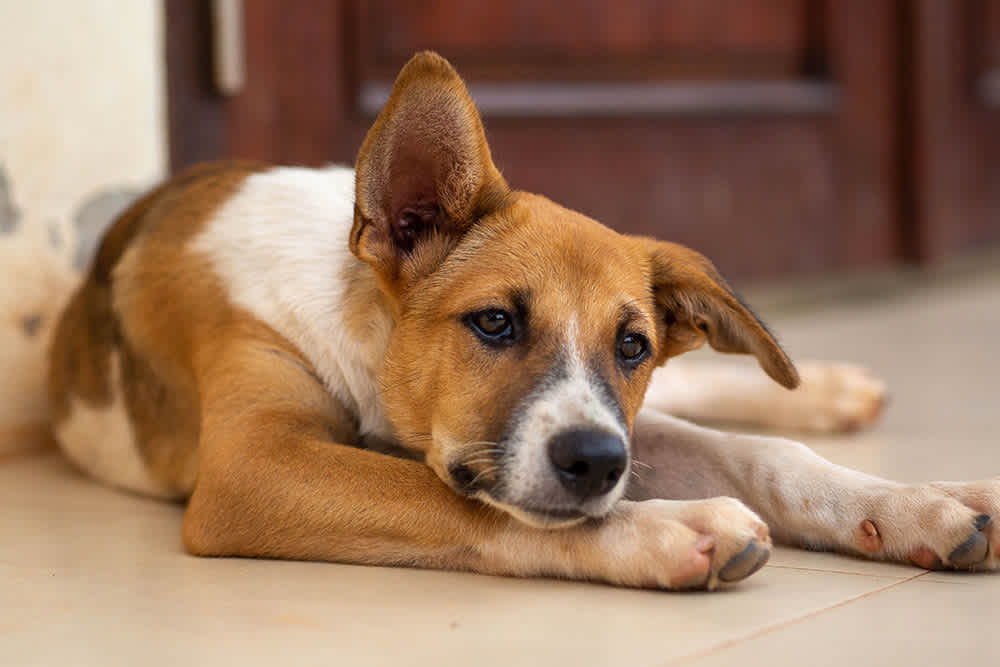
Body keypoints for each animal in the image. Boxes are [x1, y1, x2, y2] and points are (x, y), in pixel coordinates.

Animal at [43, 53, 996, 588]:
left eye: (633, 344)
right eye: (495, 323)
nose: (598, 464)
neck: (364, 331)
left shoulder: (616, 416)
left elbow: (759, 455)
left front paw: (915, 505)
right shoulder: (254, 467)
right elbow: (463, 504)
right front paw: (669, 527)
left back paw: (837, 393)